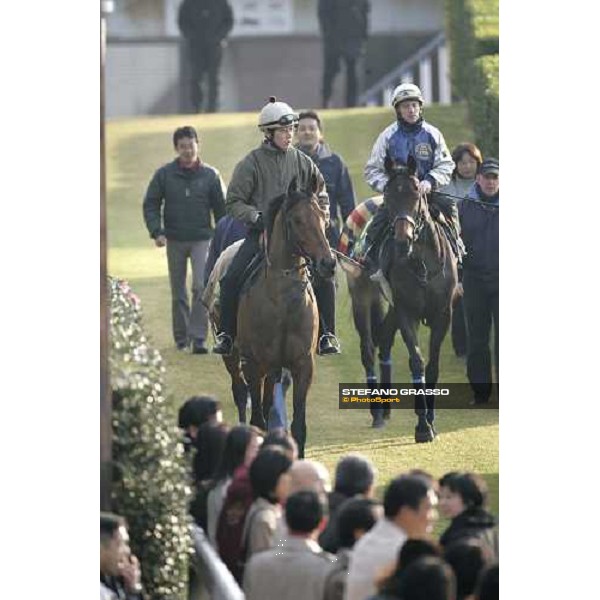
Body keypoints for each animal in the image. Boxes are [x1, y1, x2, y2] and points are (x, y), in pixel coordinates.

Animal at [236, 180, 338, 458]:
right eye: (298, 220)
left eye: (323, 217)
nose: (328, 264)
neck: (283, 302)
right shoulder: (258, 364)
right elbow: (259, 419)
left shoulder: (303, 365)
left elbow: (298, 426)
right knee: (242, 398)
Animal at [384, 157, 460, 442]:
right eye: (387, 196)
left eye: (416, 193)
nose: (402, 241)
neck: (423, 264)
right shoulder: (406, 312)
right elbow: (417, 362)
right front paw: (422, 426)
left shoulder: (443, 314)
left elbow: (434, 365)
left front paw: (431, 420)